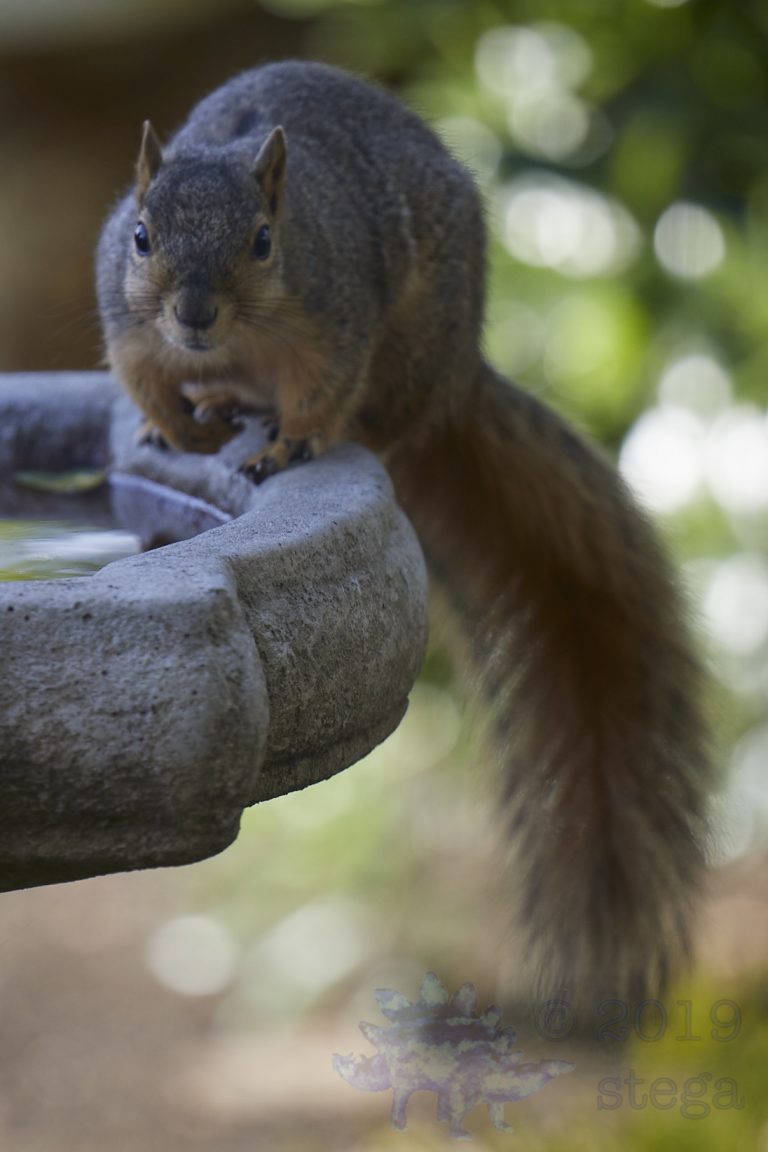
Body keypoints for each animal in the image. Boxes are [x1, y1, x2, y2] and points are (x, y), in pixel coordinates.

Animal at [96, 60, 711, 1005]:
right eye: (139, 236)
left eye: (265, 242)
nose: (194, 314)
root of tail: (458, 378)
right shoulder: (130, 325)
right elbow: (142, 374)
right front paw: (172, 424)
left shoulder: (333, 314)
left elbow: (321, 387)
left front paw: (288, 443)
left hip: (414, 347)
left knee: (377, 414)